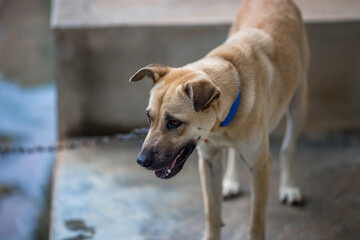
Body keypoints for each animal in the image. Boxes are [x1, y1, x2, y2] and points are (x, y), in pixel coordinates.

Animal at [131, 0, 308, 240]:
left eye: (174, 122)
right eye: (149, 117)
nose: (141, 161)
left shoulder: (260, 165)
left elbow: (256, 222)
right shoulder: (209, 163)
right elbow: (212, 214)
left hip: (299, 102)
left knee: (289, 147)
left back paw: (289, 188)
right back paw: (232, 182)